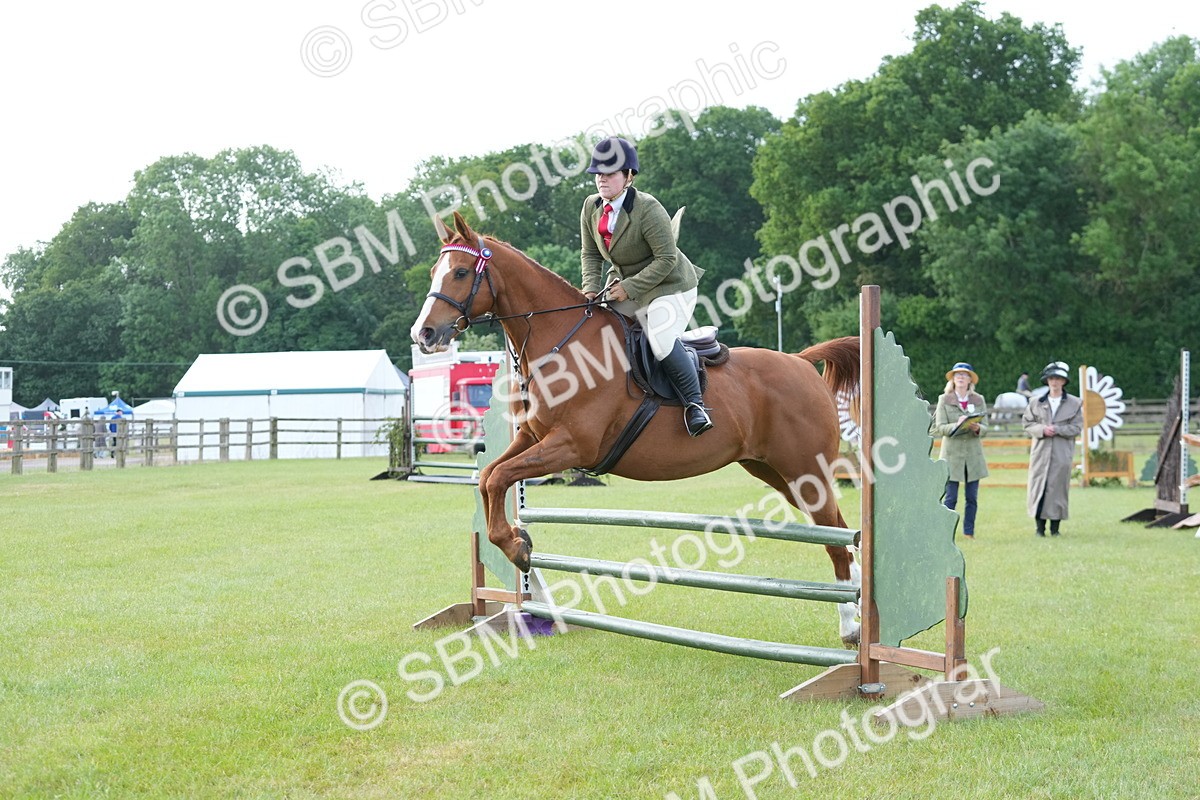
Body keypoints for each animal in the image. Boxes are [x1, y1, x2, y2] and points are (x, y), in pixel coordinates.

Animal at [411, 212, 865, 644]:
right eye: (436, 270)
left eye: (461, 273)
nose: (423, 334)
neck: (563, 344)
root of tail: (801, 362)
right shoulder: (532, 437)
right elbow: (489, 476)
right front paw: (519, 544)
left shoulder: (571, 446)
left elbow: (499, 476)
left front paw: (518, 548)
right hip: (774, 471)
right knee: (841, 533)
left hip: (805, 470)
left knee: (836, 541)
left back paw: (851, 627)